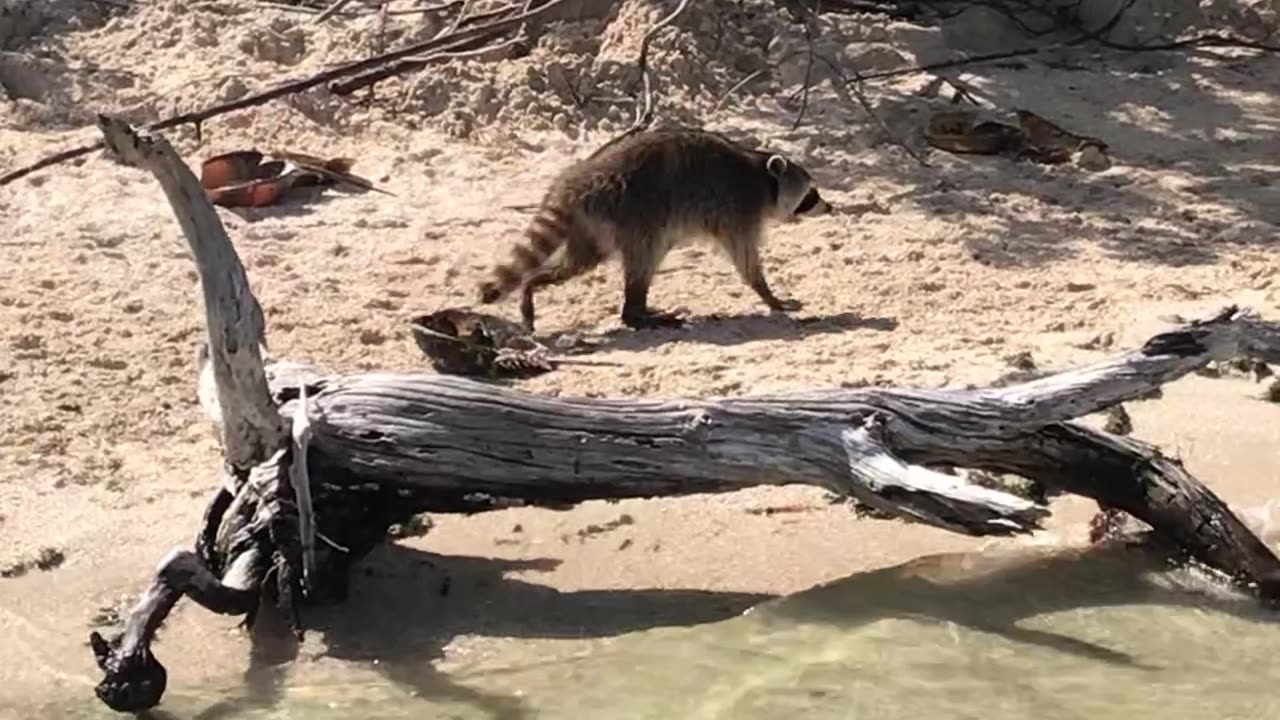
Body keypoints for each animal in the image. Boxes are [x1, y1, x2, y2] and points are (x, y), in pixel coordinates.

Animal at [477, 127, 833, 332]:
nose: (830, 207)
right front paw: (769, 295)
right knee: (645, 259)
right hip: (631, 210)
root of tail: (575, 180)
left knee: (577, 265)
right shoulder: (739, 210)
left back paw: (534, 284)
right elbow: (746, 261)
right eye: (811, 194)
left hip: (592, 225)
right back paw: (635, 312)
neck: (760, 175)